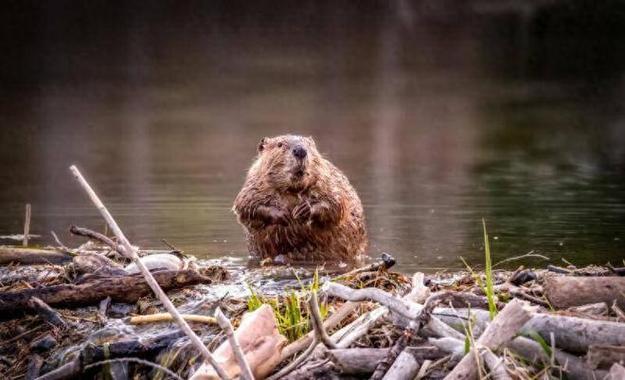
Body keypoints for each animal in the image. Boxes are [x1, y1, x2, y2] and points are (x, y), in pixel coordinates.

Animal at [233, 135, 366, 266]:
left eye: (309, 144)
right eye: (280, 144)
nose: (300, 151)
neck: (292, 190)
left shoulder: (328, 180)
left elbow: (337, 203)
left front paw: (303, 210)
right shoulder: (254, 184)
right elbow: (245, 205)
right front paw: (283, 214)